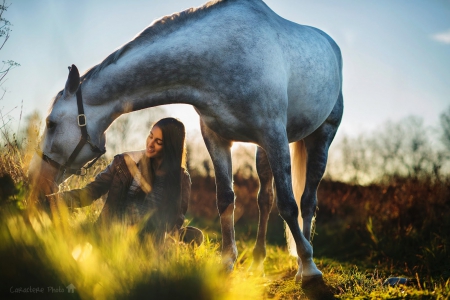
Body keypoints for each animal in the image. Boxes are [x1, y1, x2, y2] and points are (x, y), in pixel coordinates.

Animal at [29, 0, 342, 296]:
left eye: (51, 123)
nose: (35, 178)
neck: (222, 54)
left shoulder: (274, 133)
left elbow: (289, 205)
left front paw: (309, 267)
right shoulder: (217, 138)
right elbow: (225, 199)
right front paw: (227, 263)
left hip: (321, 136)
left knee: (307, 200)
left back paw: (303, 266)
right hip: (262, 150)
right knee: (265, 199)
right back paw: (257, 264)